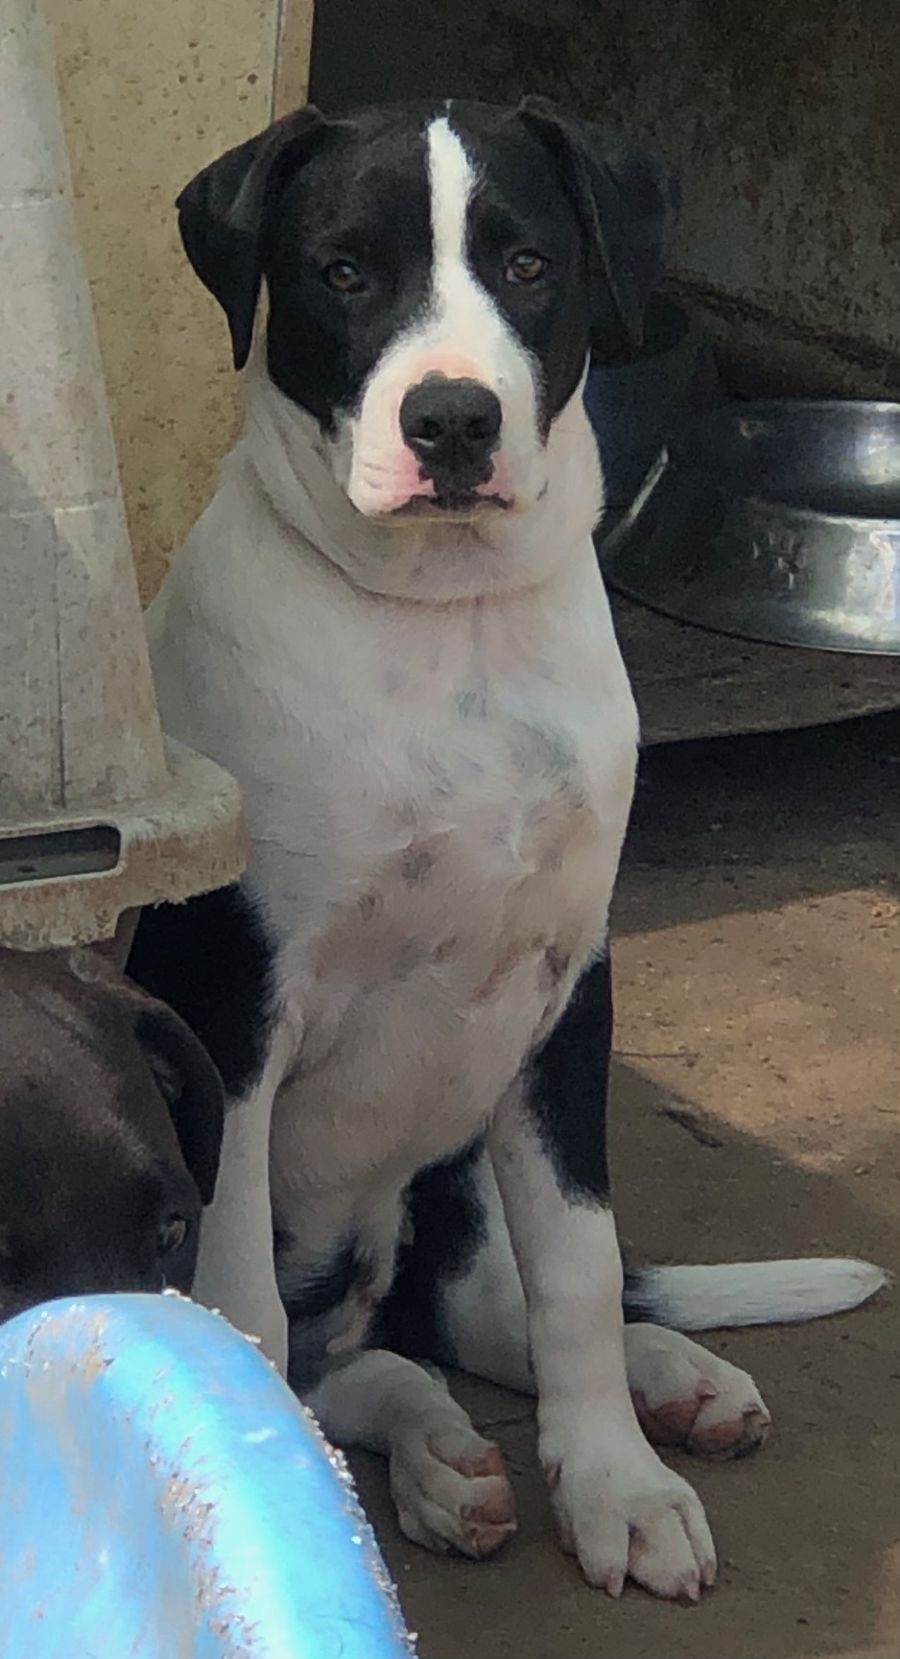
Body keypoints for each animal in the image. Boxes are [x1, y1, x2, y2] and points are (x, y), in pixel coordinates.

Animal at [130, 97, 885, 1600]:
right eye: (345, 272)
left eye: (530, 265)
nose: (452, 418)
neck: (448, 620)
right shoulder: (235, 1019)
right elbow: (238, 1293)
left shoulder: (567, 989)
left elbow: (580, 1267)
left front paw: (617, 1486)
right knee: (343, 1363)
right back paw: (436, 1460)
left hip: (455, 1173)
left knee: (485, 1317)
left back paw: (668, 1384)